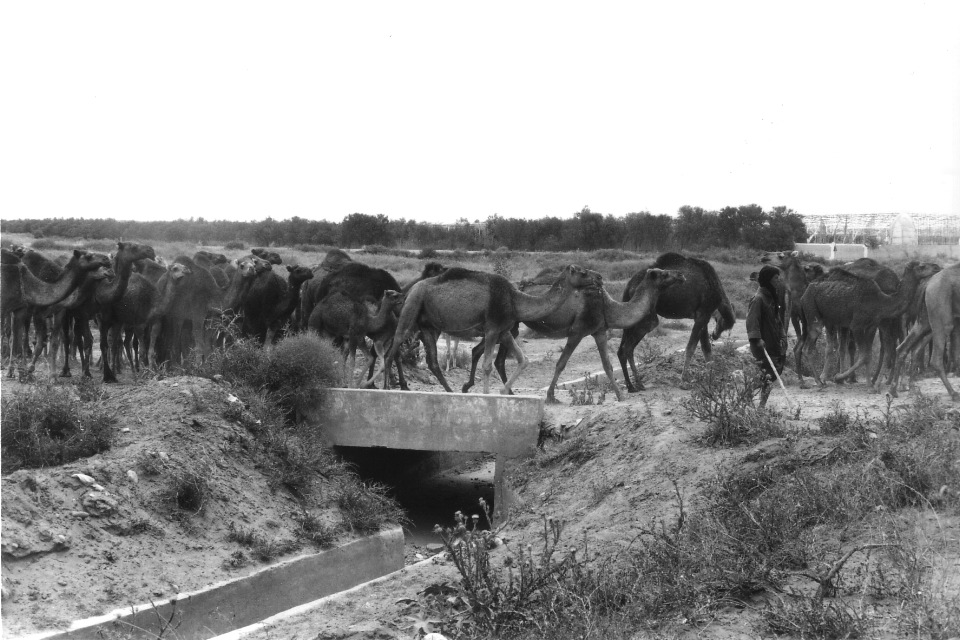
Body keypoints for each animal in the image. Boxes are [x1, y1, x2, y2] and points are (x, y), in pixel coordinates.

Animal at [384, 264, 601, 395]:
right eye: (583, 272)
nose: (599, 277)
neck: (515, 300)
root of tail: (409, 290)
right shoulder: (491, 329)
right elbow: (487, 365)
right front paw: (488, 396)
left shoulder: (504, 331)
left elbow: (523, 359)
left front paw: (504, 391)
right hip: (412, 308)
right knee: (393, 348)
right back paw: (384, 387)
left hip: (430, 326)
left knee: (432, 361)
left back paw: (450, 391)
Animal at [617, 253, 736, 391]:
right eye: (720, 321)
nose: (715, 335)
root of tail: (628, 286)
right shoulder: (703, 314)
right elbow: (691, 348)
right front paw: (683, 381)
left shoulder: (701, 316)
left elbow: (706, 348)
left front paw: (712, 378)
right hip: (647, 317)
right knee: (628, 347)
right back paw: (636, 385)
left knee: (622, 350)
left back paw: (633, 385)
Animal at [798, 260, 941, 389]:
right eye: (922, 266)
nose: (936, 267)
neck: (880, 300)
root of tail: (804, 294)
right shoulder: (856, 326)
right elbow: (862, 355)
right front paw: (839, 377)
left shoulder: (871, 325)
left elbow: (867, 354)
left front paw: (868, 384)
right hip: (814, 312)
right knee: (808, 346)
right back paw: (819, 382)